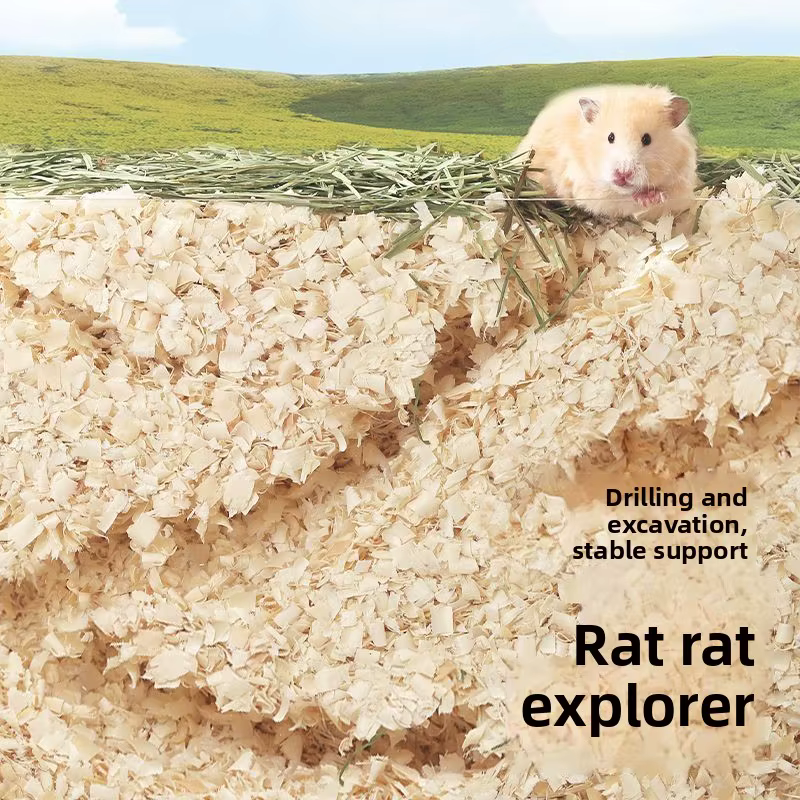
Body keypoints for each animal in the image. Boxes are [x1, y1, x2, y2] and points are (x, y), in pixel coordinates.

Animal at [512, 84, 699, 221]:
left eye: (647, 139)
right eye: (610, 137)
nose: (623, 174)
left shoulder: (682, 187)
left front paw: (654, 196)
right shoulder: (585, 185)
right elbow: (618, 199)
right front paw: (644, 197)